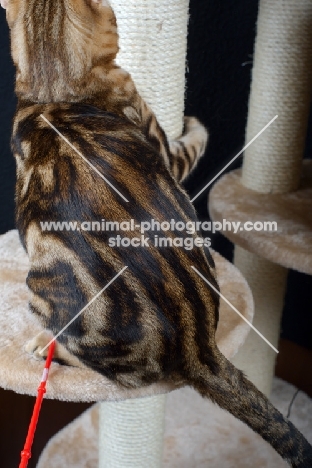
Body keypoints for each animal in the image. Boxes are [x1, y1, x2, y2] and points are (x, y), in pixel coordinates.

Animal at [2, 1, 312, 466]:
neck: (52, 91)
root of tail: (198, 345)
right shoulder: (164, 148)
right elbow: (195, 139)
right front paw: (195, 121)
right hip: (42, 288)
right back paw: (45, 342)